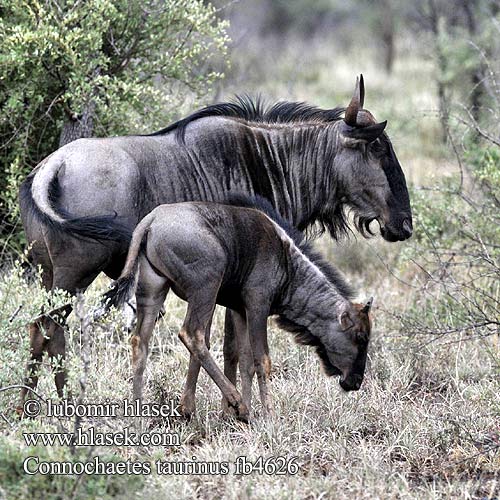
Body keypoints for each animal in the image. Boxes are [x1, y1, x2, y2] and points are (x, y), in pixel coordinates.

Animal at [105, 197, 372, 420]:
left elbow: (243, 360)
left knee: (141, 342)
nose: (356, 382)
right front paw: (266, 415)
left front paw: (243, 412)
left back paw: (141, 414)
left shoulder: (238, 310)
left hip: (154, 291)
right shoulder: (257, 306)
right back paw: (235, 404)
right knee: (193, 335)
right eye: (360, 336)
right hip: (205, 288)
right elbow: (262, 360)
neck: (287, 261)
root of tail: (151, 220)